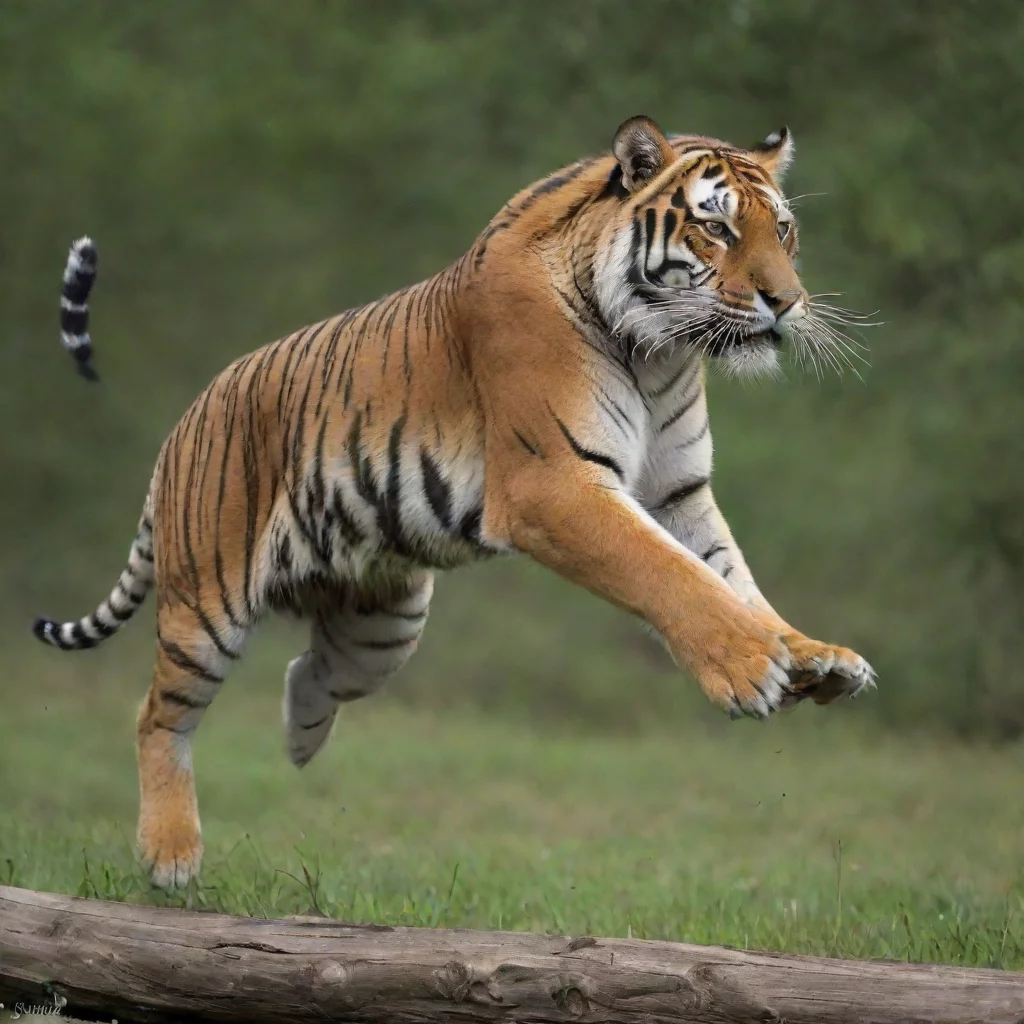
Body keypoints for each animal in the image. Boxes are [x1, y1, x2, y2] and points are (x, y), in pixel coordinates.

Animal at [34, 115, 876, 890]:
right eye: (715, 226)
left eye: (783, 229)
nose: (786, 302)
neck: (661, 354)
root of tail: (184, 422)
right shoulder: (554, 487)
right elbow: (670, 577)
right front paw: (750, 671)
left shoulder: (676, 492)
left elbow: (727, 578)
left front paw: (810, 655)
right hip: (207, 604)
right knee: (157, 714)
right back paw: (170, 855)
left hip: (387, 622)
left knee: (312, 669)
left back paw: (301, 739)